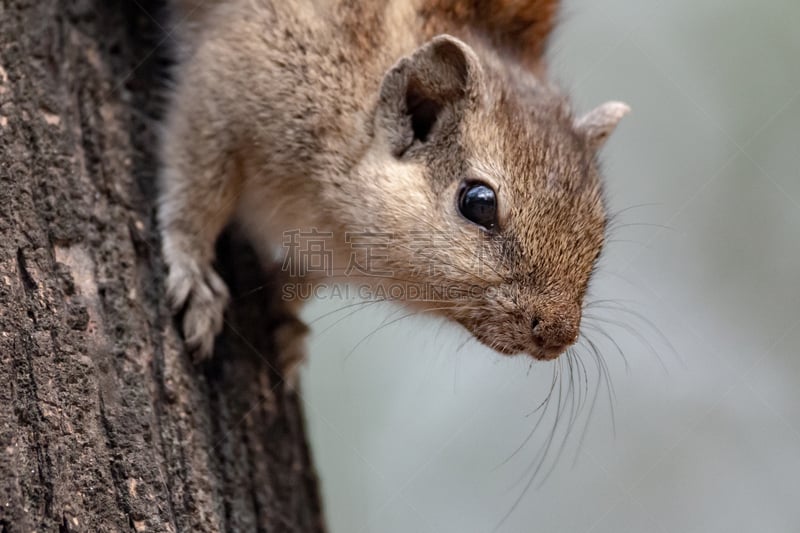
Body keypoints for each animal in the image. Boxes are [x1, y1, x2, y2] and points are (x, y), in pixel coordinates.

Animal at [156, 0, 632, 370]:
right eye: (478, 203)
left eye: (599, 234)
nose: (557, 335)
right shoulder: (236, 74)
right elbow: (200, 180)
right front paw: (194, 272)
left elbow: (301, 279)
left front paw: (288, 327)